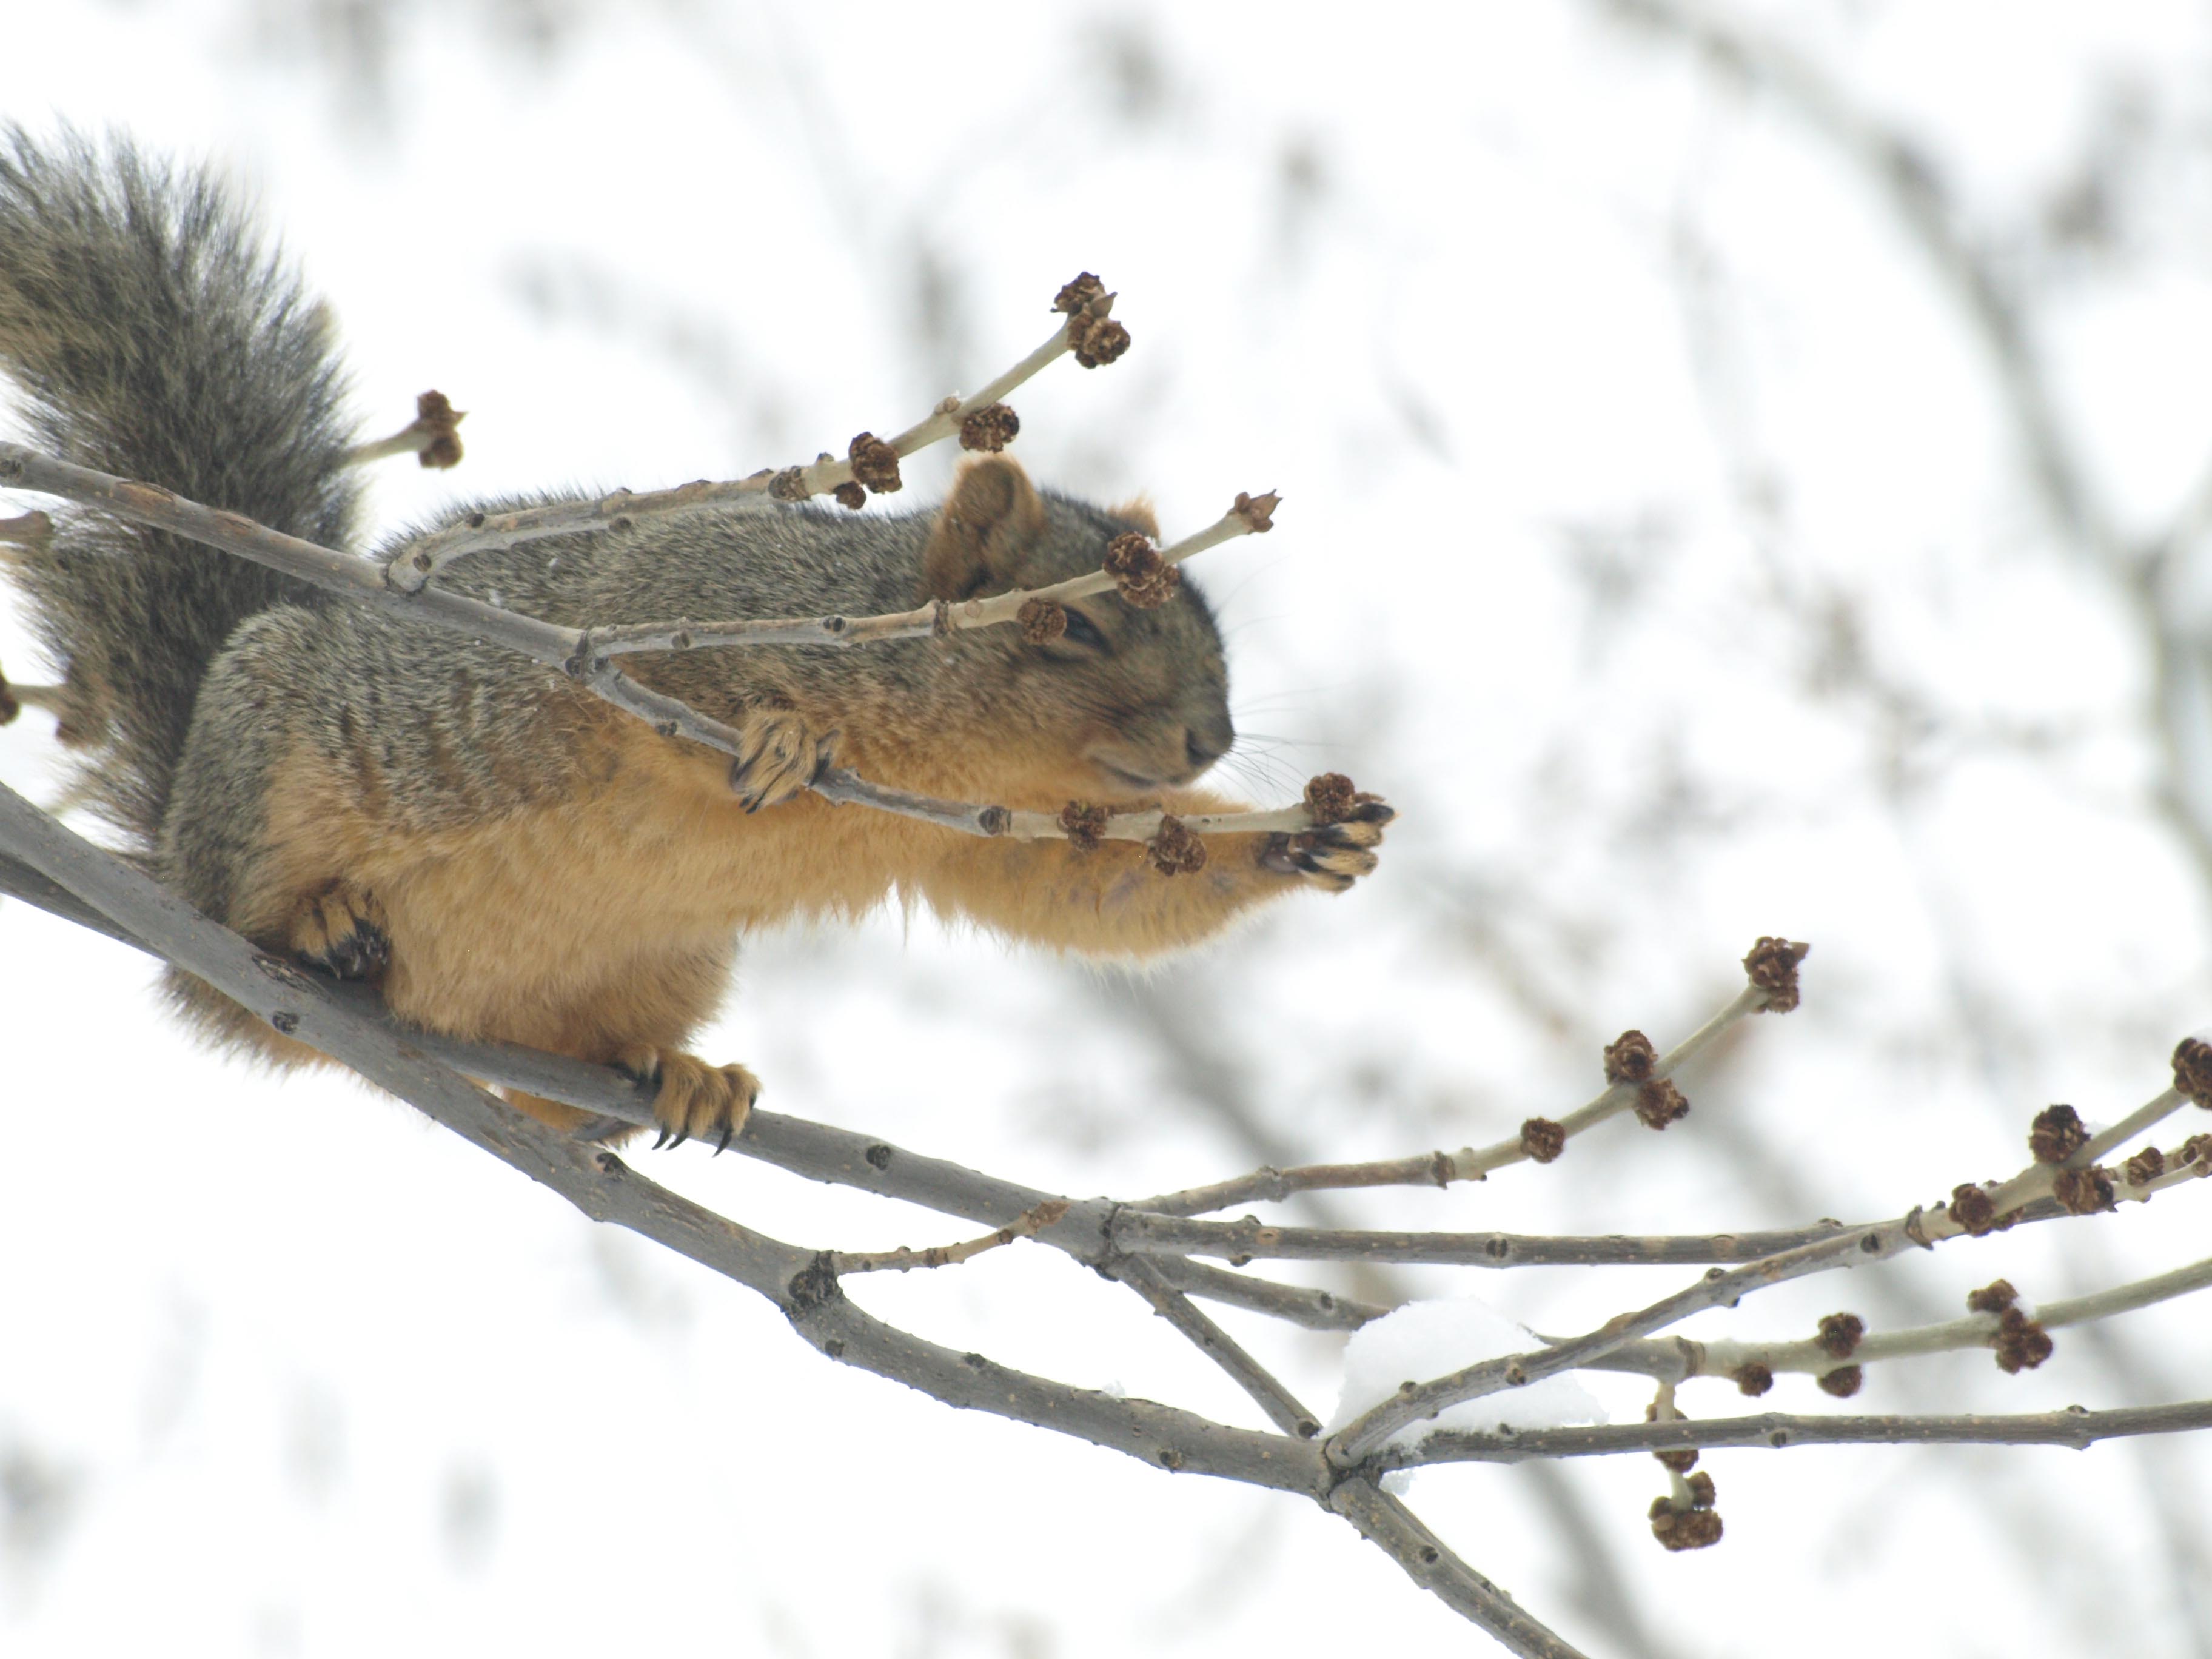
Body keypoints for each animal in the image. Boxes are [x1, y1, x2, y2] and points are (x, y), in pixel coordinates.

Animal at [0, 129, 1391, 1148]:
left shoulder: (989, 833)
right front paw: (783, 736)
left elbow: (1082, 892)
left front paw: (1312, 839)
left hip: (655, 969)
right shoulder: (669, 602)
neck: (947, 752)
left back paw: (663, 1081)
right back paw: (310, 921)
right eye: (1083, 625)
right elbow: (665, 679)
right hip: (261, 753)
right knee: (229, 933)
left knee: (556, 1084)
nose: (1211, 737)